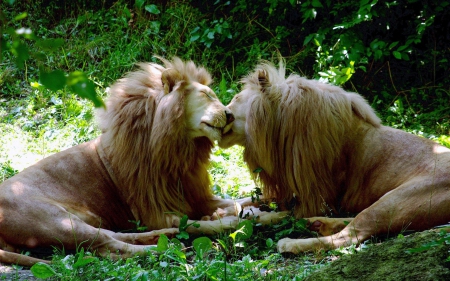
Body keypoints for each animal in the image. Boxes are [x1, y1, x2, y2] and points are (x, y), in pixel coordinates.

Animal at [0, 56, 241, 264]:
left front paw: (236, 208)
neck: (179, 150)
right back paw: (166, 247)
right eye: (207, 95)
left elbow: (237, 201)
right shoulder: (156, 213)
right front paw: (228, 218)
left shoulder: (194, 197)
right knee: (110, 247)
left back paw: (163, 236)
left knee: (113, 239)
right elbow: (197, 225)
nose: (230, 115)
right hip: (58, 222)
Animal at [219, 61, 450, 254]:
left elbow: (280, 212)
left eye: (236, 99)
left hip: (395, 199)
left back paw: (291, 242)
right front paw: (225, 209)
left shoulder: (318, 195)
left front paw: (251, 216)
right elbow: (246, 199)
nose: (223, 112)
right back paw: (316, 223)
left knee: (351, 235)